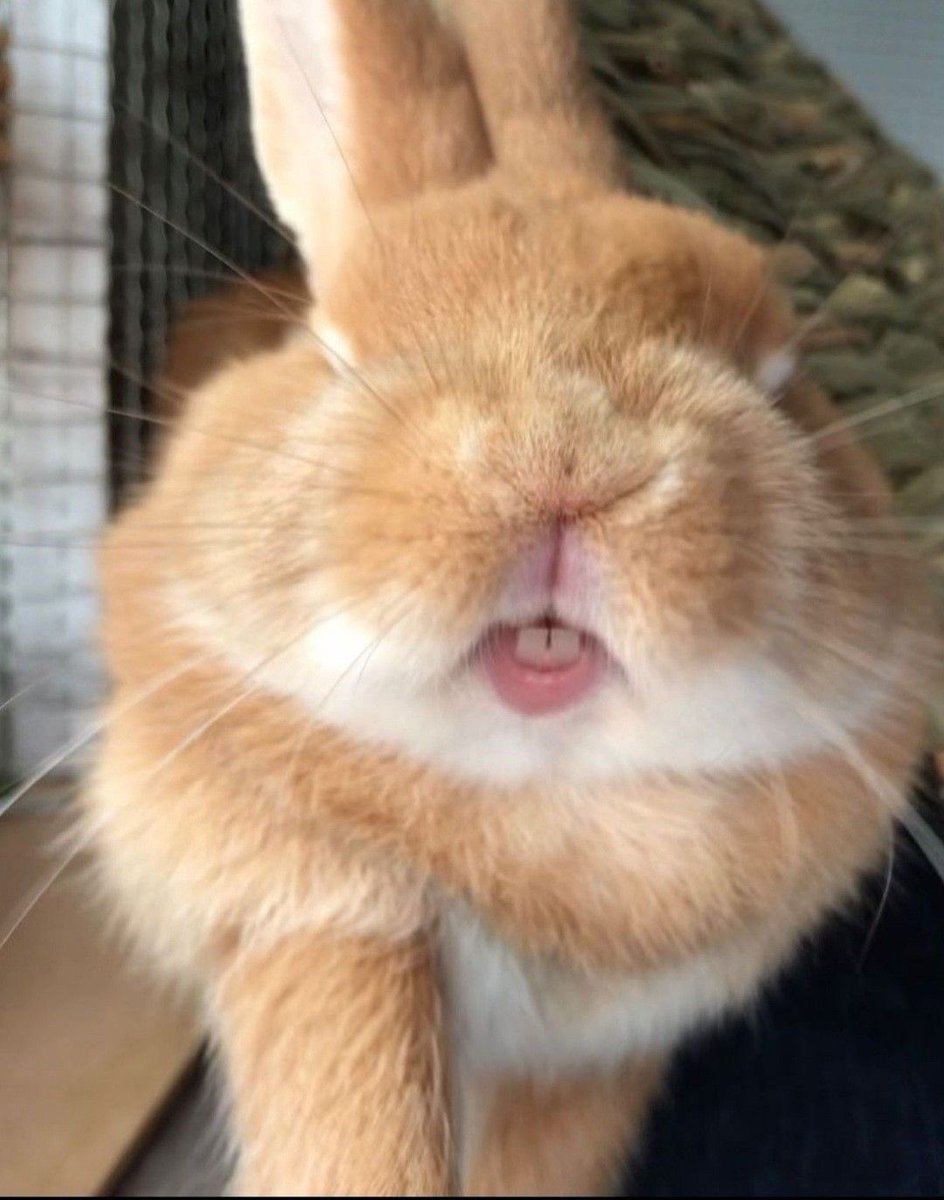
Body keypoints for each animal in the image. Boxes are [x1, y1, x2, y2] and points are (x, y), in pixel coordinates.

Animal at [83, 0, 935, 1194]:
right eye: (340, 353)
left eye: (777, 380)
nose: (565, 461)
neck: (539, 805)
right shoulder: (315, 910)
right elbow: (354, 1086)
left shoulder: (596, 1054)